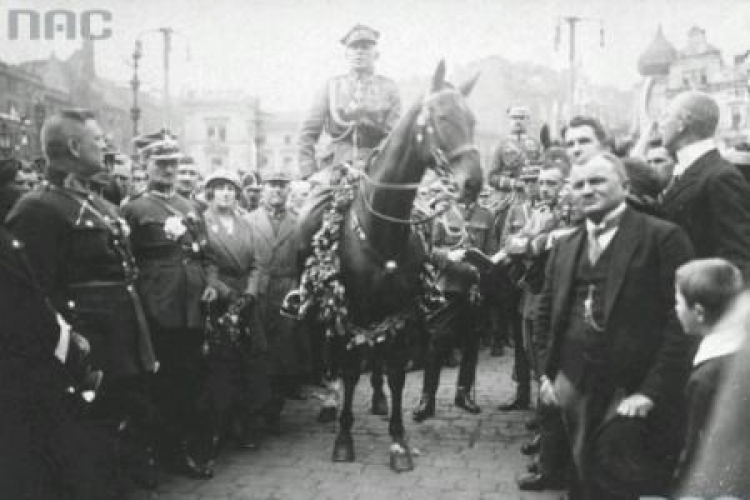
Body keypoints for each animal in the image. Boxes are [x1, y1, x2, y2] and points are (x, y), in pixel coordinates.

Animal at [328, 62, 482, 472]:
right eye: (442, 117)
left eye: (473, 120)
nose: (474, 182)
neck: (382, 229)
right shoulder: (353, 307)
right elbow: (350, 369)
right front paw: (344, 438)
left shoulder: (400, 309)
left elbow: (397, 372)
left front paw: (398, 442)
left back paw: (380, 400)